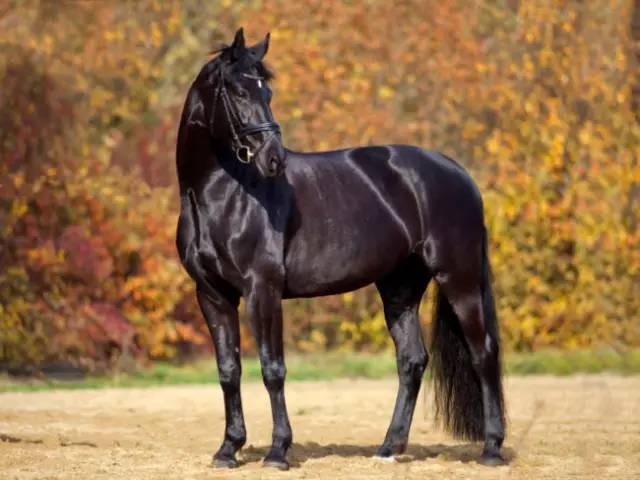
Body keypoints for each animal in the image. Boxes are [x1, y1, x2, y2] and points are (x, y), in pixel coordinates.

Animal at [175, 28, 506, 470]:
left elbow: (272, 369)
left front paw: (278, 451)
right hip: (400, 287)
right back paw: (389, 448)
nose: (274, 159)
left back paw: (491, 448)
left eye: (267, 92)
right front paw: (228, 449)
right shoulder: (212, 294)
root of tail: (460, 174)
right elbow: (229, 370)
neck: (222, 193)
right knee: (412, 361)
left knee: (482, 352)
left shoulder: (263, 290)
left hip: (459, 278)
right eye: (239, 91)